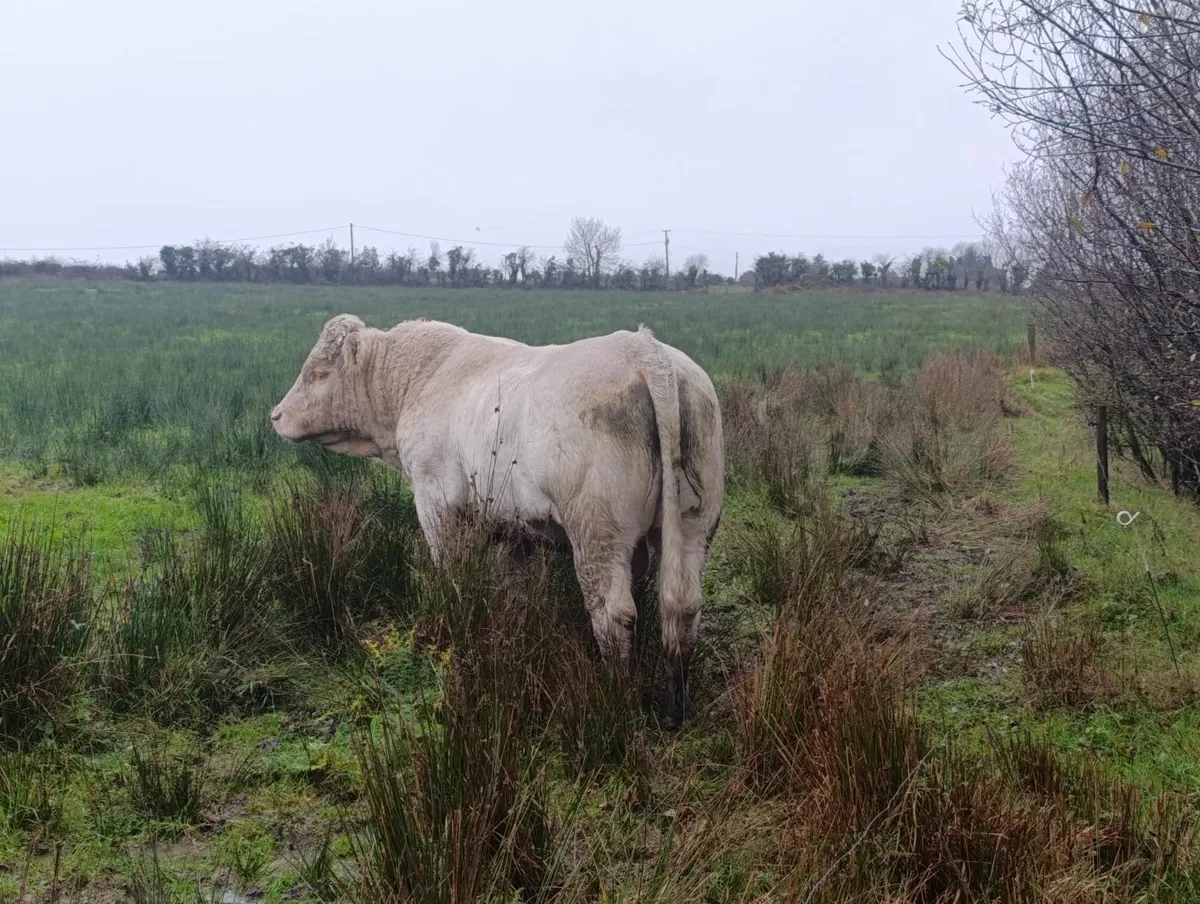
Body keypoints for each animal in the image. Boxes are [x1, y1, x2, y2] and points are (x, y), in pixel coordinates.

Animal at [269, 314, 724, 728]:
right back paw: (674, 710)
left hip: (597, 530)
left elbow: (451, 572)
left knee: (613, 613)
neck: (420, 379)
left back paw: (616, 698)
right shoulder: (510, 524)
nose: (275, 415)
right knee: (682, 608)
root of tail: (644, 349)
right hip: (694, 525)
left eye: (318, 374)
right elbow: (510, 589)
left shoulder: (434, 502)